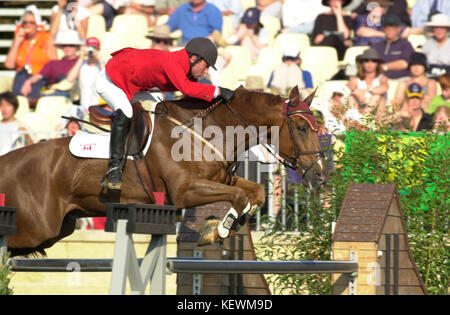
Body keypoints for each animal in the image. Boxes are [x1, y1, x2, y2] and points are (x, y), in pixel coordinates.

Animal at [1, 86, 328, 256]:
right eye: (301, 128)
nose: (320, 176)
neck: (206, 132)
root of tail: (7, 161)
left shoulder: (220, 179)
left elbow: (253, 192)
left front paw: (228, 224)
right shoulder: (185, 192)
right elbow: (238, 195)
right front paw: (217, 230)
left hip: (56, 229)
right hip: (36, 228)